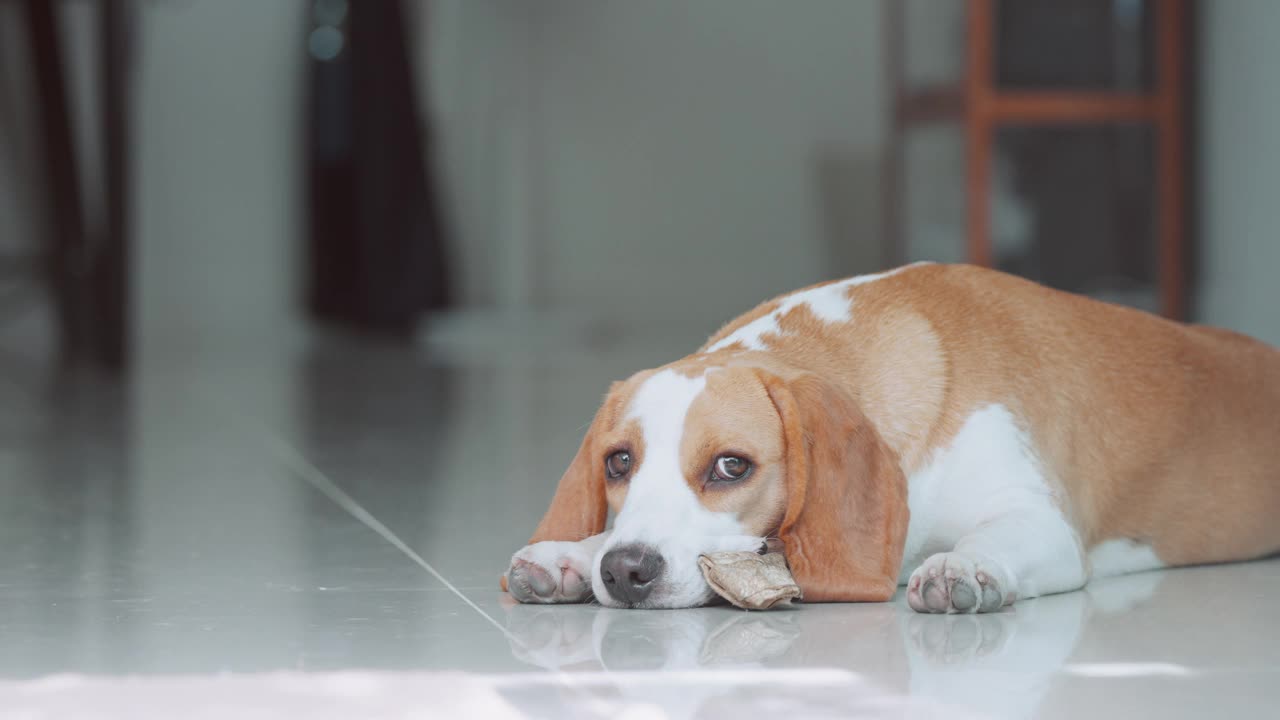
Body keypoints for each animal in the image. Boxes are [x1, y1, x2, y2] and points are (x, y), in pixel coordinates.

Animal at [501, 263, 1280, 609]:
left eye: (730, 467)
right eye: (618, 461)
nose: (625, 572)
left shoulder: (1041, 521)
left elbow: (991, 539)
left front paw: (964, 567)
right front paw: (575, 552)